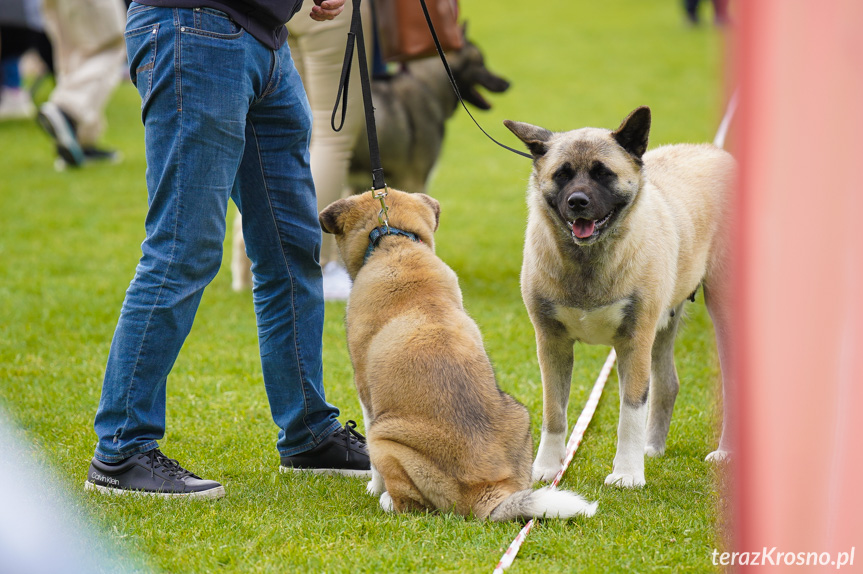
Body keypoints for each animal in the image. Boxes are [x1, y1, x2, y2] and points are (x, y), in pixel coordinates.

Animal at [320, 191, 596, 524]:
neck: (395, 243)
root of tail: (486, 492)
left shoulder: (365, 391)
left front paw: (374, 488)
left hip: (383, 439)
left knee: (408, 503)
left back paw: (387, 500)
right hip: (520, 414)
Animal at [506, 106, 736, 488]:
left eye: (604, 174)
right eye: (562, 175)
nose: (578, 202)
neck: (589, 262)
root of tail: (718, 155)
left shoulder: (634, 341)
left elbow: (630, 411)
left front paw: (627, 473)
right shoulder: (551, 342)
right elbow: (554, 411)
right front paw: (546, 468)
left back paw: (724, 453)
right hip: (665, 322)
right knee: (668, 383)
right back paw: (652, 448)